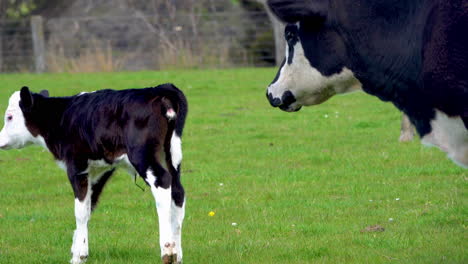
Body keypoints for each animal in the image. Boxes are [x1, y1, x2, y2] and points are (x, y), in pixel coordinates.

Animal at [0, 85, 189, 264]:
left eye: (9, 117)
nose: (0, 140)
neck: (62, 118)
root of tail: (158, 89)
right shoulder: (99, 171)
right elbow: (89, 206)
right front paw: (76, 250)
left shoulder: (77, 168)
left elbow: (80, 212)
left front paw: (79, 255)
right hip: (172, 156)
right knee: (178, 192)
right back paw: (178, 255)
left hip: (143, 156)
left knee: (163, 184)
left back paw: (168, 250)